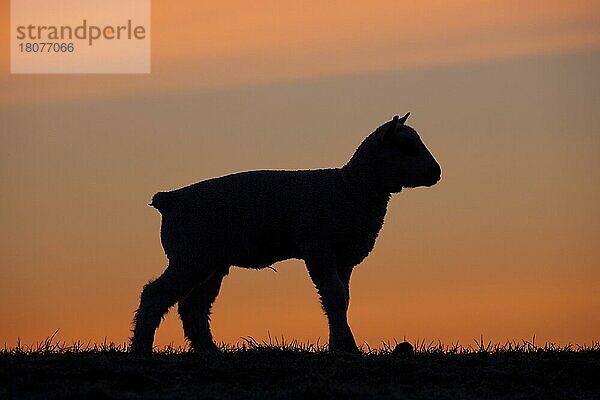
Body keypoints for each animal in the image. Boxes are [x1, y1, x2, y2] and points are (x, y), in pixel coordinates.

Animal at [131, 113, 440, 354]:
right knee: (155, 295)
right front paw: (347, 347)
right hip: (190, 256)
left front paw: (339, 345)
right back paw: (141, 349)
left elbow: (342, 300)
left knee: (194, 307)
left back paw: (209, 350)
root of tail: (170, 199)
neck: (350, 187)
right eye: (406, 146)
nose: (436, 173)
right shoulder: (319, 250)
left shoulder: (343, 259)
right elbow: (335, 295)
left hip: (210, 263)